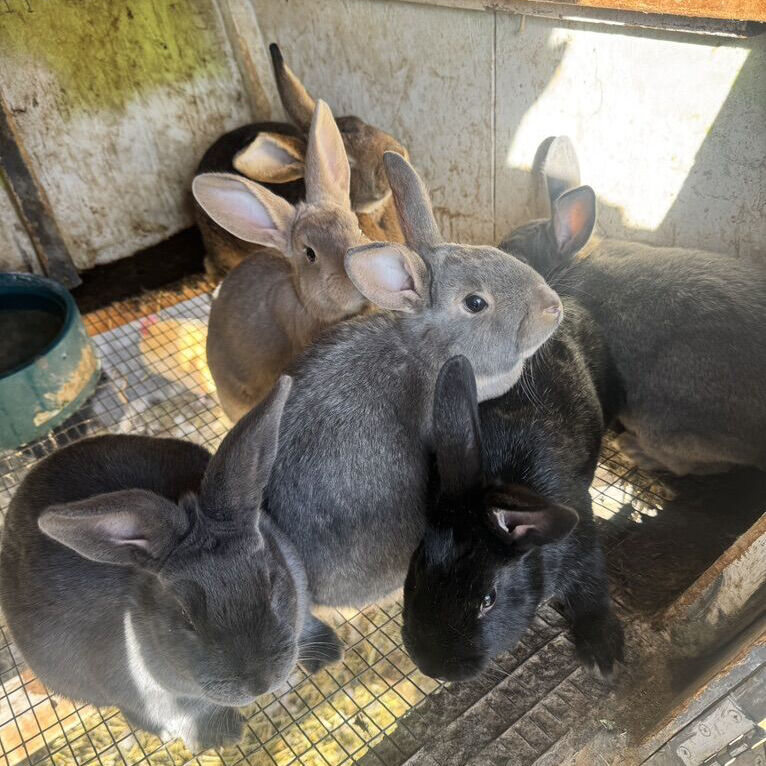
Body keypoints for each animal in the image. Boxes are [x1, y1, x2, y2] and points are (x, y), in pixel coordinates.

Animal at [0, 378, 342, 752]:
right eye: (185, 617)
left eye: (271, 581)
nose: (260, 682)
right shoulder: (156, 698)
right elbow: (188, 714)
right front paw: (222, 737)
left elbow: (305, 624)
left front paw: (329, 652)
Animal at [402, 341, 625, 683]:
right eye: (416, 569)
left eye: (488, 599)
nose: (432, 667)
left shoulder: (582, 546)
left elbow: (592, 587)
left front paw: (603, 656)